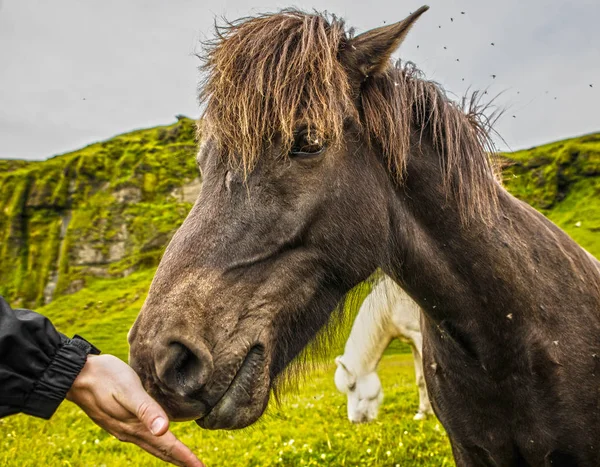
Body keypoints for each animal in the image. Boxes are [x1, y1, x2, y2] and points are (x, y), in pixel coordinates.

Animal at [336, 276, 434, 426]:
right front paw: (423, 413)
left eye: (352, 386)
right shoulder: (413, 341)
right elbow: (421, 378)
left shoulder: (419, 337)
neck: (393, 305)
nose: (354, 421)